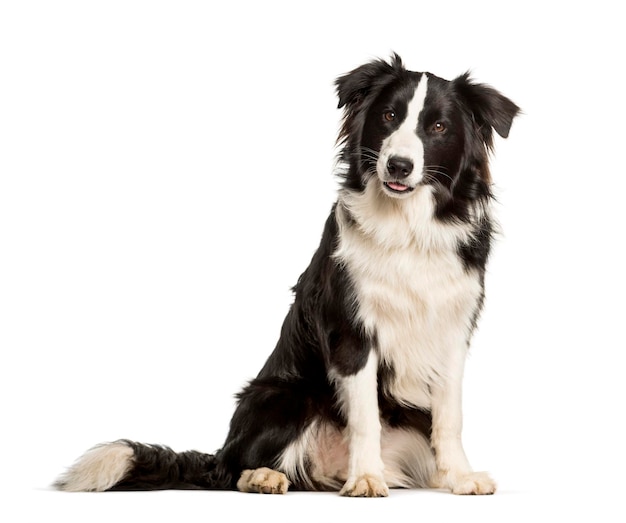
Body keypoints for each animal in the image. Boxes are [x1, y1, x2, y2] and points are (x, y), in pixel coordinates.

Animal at [57, 55, 516, 498]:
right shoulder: (351, 332)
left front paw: (459, 477)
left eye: (438, 127)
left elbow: (449, 416)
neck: (407, 226)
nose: (399, 166)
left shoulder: (453, 330)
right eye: (388, 116)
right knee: (233, 469)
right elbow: (365, 416)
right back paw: (264, 477)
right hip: (282, 395)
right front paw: (366, 478)